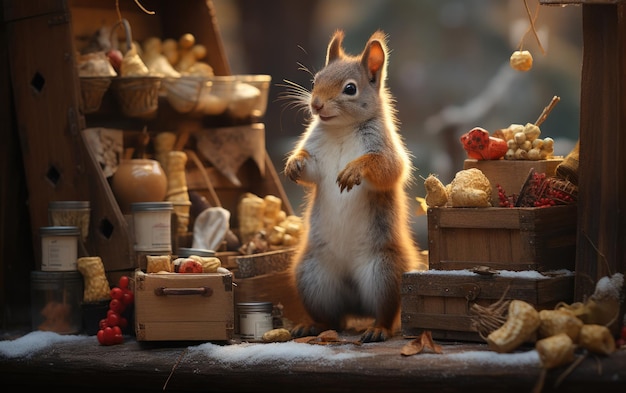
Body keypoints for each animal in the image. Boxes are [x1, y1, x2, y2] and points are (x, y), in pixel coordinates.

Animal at [284, 29, 426, 342]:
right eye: (315, 80)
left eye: (350, 89)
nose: (316, 104)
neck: (341, 129)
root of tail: (357, 306)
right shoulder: (317, 154)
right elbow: (309, 169)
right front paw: (293, 163)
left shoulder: (385, 148)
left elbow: (389, 169)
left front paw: (354, 169)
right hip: (312, 276)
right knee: (332, 318)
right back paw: (313, 325)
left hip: (383, 273)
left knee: (386, 312)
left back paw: (378, 329)